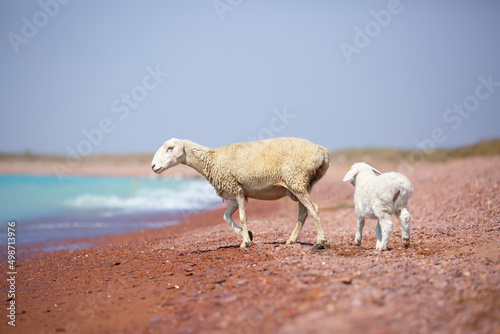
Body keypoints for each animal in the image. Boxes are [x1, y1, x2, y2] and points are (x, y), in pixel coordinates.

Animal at [152, 136, 332, 248]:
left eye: (170, 148)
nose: (153, 166)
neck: (212, 160)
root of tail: (323, 152)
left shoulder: (236, 189)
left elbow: (242, 217)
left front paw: (245, 242)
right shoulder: (237, 192)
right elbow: (226, 216)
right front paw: (247, 235)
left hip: (296, 180)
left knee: (314, 209)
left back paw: (321, 240)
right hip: (300, 184)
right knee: (303, 213)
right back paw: (291, 240)